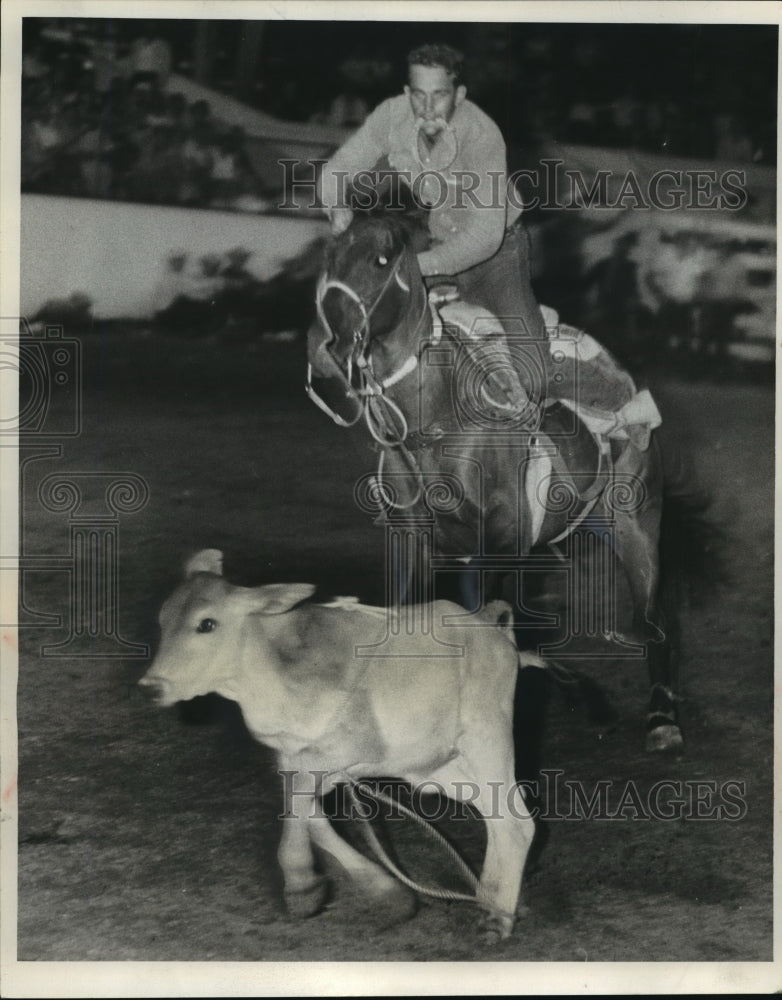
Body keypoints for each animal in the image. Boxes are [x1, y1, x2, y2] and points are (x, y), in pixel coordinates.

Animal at [306, 203, 688, 752]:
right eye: (329, 257)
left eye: (381, 259)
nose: (329, 345)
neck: (435, 421)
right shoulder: (416, 541)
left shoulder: (500, 541)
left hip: (637, 527)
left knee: (654, 620)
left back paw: (662, 719)